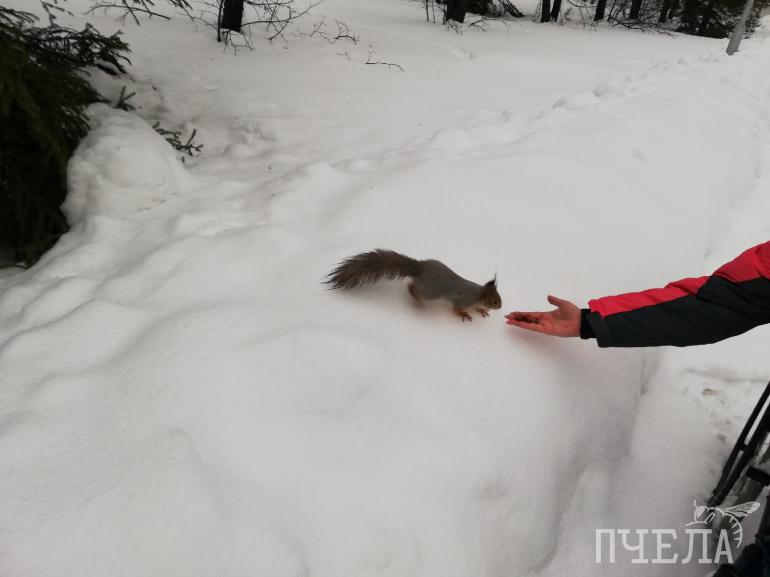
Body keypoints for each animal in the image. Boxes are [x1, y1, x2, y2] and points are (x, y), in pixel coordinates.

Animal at [326, 249, 502, 321]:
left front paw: (481, 310)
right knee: (411, 288)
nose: (500, 307)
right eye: (494, 301)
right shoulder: (462, 300)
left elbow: (477, 307)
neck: (477, 293)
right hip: (431, 292)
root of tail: (420, 269)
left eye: (498, 299)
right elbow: (456, 309)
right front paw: (464, 315)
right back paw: (417, 300)